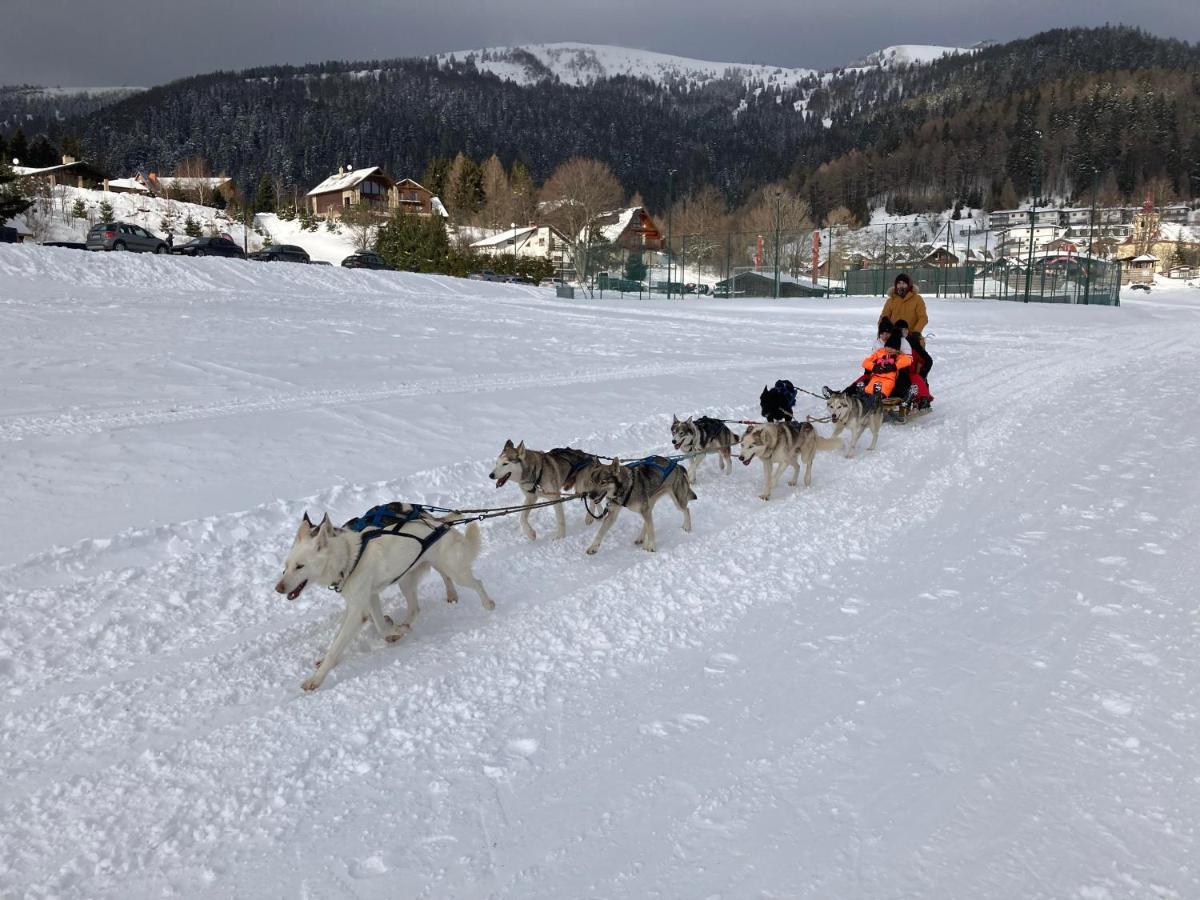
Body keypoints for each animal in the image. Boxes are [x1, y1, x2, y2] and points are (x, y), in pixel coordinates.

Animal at [274, 508, 494, 691]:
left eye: (300, 566)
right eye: (287, 566)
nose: (278, 588)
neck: (349, 559)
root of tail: (444, 526)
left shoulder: (358, 609)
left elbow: (340, 644)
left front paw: (316, 679)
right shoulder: (366, 600)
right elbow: (366, 629)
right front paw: (393, 632)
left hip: (457, 573)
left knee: (477, 583)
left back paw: (488, 604)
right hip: (407, 580)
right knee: (416, 607)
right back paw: (406, 626)